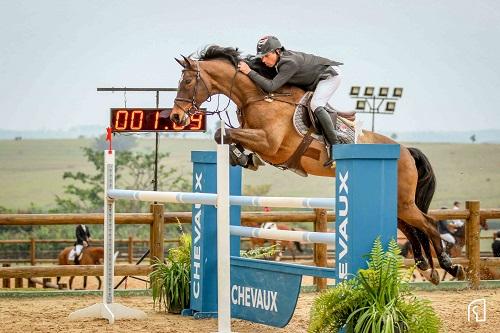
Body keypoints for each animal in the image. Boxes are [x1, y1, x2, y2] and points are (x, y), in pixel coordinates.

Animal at [170, 44, 466, 282]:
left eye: (188, 81)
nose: (176, 118)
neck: (261, 96)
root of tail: (405, 150)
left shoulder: (270, 144)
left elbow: (227, 133)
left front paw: (240, 155)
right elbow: (228, 136)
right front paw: (242, 157)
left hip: (404, 201)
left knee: (428, 223)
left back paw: (449, 266)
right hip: (398, 203)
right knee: (412, 228)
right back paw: (426, 266)